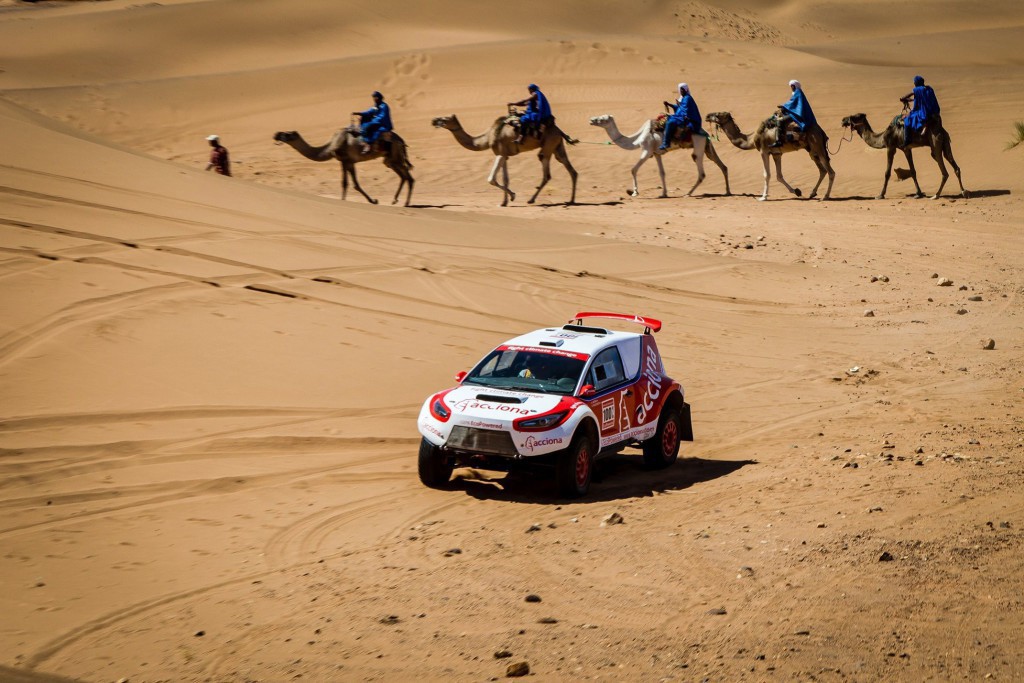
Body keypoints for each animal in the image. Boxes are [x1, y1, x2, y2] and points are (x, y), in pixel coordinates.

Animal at [276, 127, 415, 206]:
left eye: (287, 134)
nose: (276, 134)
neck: (330, 146)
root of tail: (401, 140)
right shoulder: (349, 162)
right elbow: (353, 184)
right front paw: (373, 201)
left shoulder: (344, 160)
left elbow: (346, 183)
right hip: (390, 159)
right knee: (404, 176)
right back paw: (395, 200)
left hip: (395, 155)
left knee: (409, 177)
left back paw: (406, 203)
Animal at [430, 112, 577, 205]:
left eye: (444, 119)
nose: (433, 120)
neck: (488, 137)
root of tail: (559, 130)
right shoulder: (505, 155)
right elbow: (505, 179)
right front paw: (504, 202)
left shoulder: (499, 153)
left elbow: (491, 179)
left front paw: (513, 196)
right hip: (557, 146)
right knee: (571, 170)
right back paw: (571, 200)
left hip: (548, 146)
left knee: (546, 172)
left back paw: (531, 200)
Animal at [585, 114, 729, 197]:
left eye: (603, 119)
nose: (591, 120)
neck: (637, 138)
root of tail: (705, 133)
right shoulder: (656, 153)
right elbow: (662, 173)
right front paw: (663, 193)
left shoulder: (646, 150)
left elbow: (633, 169)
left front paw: (635, 192)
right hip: (707, 147)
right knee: (723, 166)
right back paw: (727, 191)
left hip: (698, 145)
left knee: (701, 171)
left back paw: (688, 193)